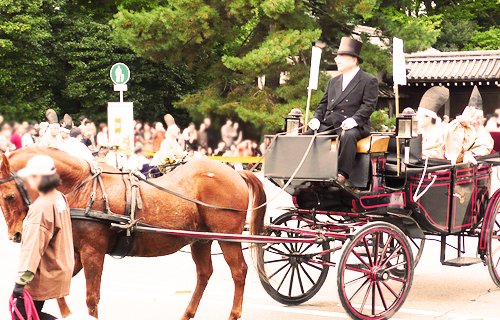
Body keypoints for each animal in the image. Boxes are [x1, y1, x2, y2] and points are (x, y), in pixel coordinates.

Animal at [0, 146, 268, 318]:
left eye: (8, 196)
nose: (16, 235)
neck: (83, 187)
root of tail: (235, 171)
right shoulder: (77, 252)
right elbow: (57, 287)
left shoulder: (92, 251)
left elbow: (92, 297)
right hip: (200, 240)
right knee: (204, 273)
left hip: (227, 237)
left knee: (239, 272)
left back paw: (233, 314)